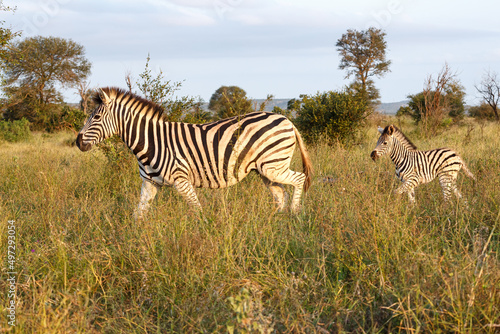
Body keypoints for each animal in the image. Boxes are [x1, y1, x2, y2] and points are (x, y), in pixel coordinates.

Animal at [75, 87, 310, 218]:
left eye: (96, 117)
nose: (77, 142)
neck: (151, 142)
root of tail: (286, 119)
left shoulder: (182, 181)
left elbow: (197, 212)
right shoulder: (149, 183)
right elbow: (138, 214)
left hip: (273, 165)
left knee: (299, 179)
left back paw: (295, 214)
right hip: (266, 170)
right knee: (280, 194)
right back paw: (275, 223)